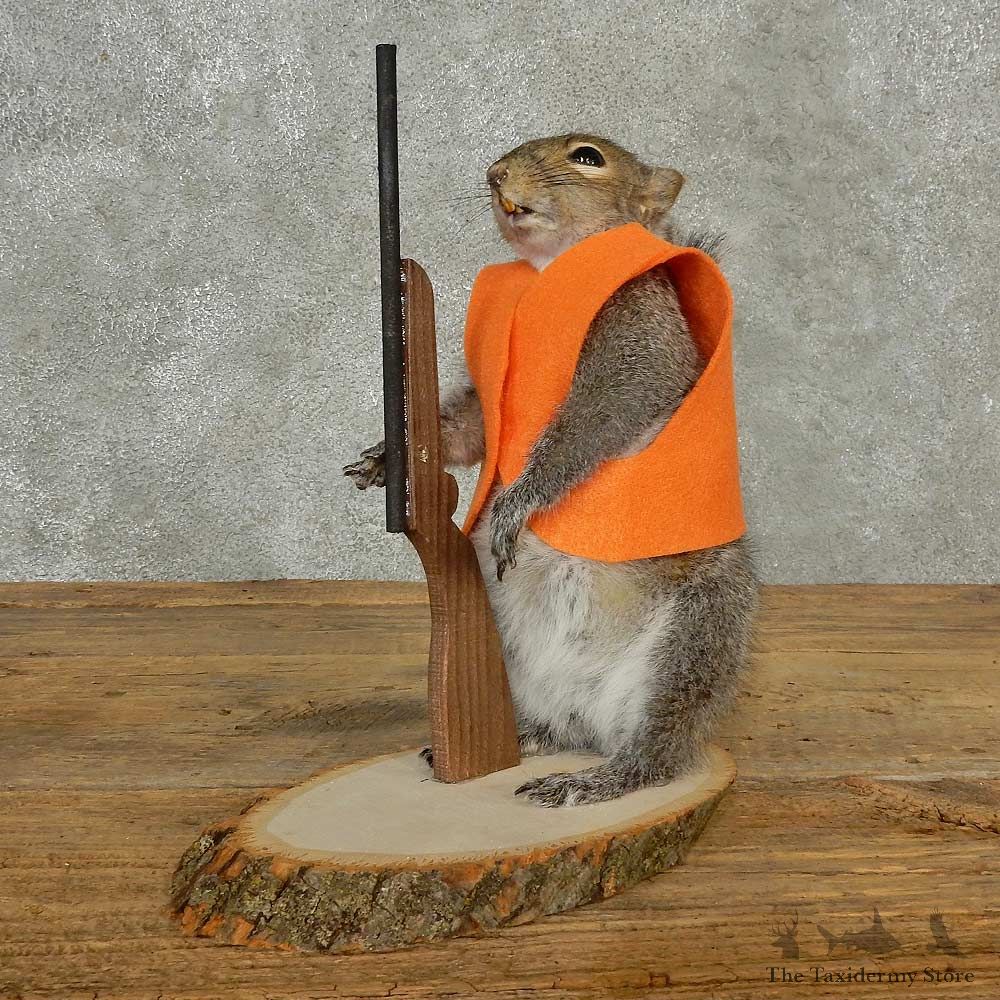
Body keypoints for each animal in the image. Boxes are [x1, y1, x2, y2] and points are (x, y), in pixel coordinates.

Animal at [345, 134, 758, 807]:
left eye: (588, 157)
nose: (495, 175)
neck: (547, 274)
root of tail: (587, 712)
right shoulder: (481, 411)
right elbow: (468, 432)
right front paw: (385, 459)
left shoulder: (638, 338)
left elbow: (594, 420)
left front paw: (517, 503)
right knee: (560, 728)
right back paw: (525, 741)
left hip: (696, 633)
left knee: (656, 753)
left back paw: (595, 781)